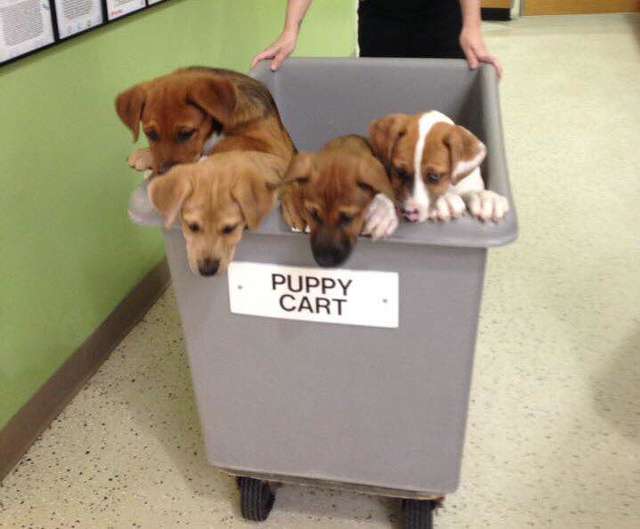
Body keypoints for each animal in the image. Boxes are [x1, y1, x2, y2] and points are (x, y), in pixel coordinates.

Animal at [115, 67, 296, 174]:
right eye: (150, 134)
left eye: (186, 133)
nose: (166, 173)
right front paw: (145, 155)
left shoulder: (276, 147)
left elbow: (227, 145)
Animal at [368, 110, 508, 222]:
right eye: (400, 172)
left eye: (435, 176)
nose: (409, 213)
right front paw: (446, 200)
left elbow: (470, 191)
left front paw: (485, 198)